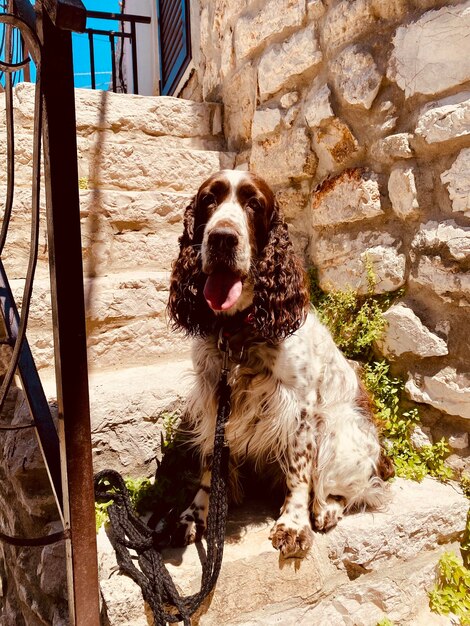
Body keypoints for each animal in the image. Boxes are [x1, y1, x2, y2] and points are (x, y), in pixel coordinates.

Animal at [167, 168, 392, 552]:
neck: (239, 332)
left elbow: (300, 474)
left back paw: (326, 510)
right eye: (209, 200)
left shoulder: (300, 408)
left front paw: (293, 524)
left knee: (356, 488)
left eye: (254, 204)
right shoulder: (215, 401)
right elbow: (211, 467)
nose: (222, 239)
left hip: (340, 431)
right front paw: (197, 515)